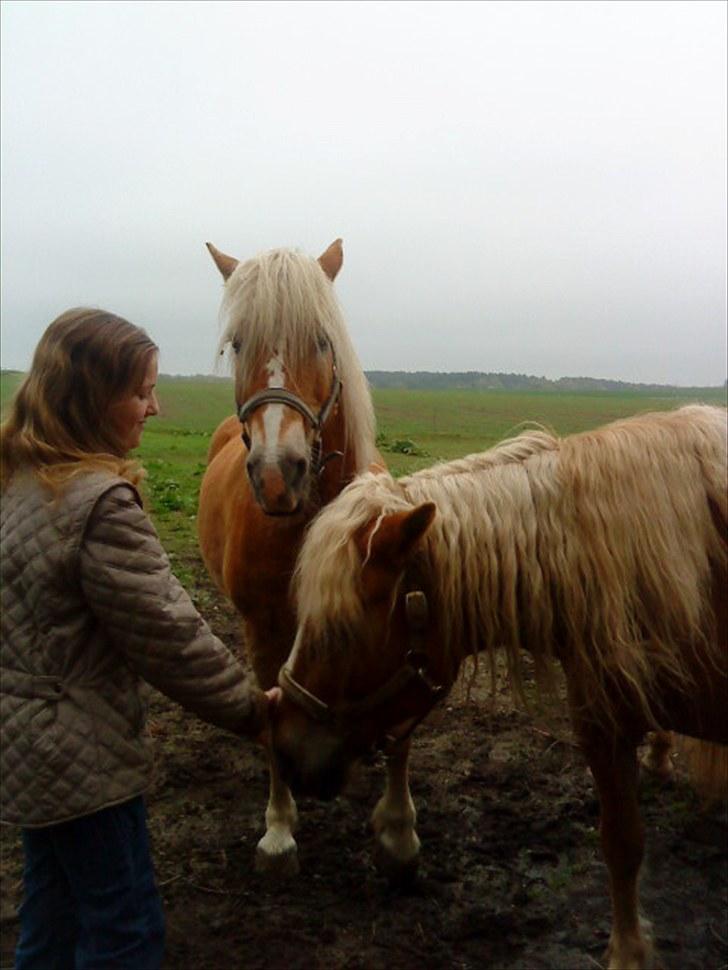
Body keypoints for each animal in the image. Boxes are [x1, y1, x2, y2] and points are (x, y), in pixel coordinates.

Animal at [199, 236, 424, 876]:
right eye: (237, 344)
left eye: (322, 341)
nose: (278, 473)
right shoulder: (265, 631)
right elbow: (273, 712)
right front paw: (278, 830)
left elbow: (401, 723)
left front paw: (398, 832)